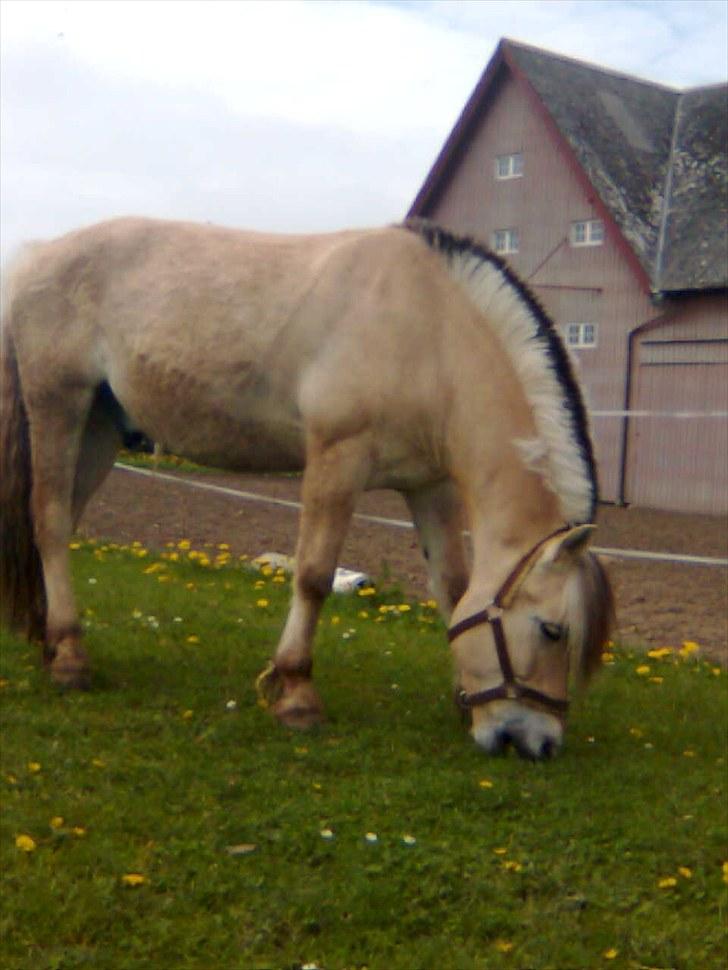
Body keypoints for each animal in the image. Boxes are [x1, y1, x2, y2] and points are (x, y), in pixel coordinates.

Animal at [1, 217, 616, 756]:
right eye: (553, 630)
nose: (537, 744)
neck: (429, 334)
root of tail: (37, 257)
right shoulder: (336, 461)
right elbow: (315, 576)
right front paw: (296, 695)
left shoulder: (430, 487)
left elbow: (453, 586)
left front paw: (462, 698)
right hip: (59, 405)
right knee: (50, 523)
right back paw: (70, 657)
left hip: (101, 427)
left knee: (61, 523)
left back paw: (50, 639)